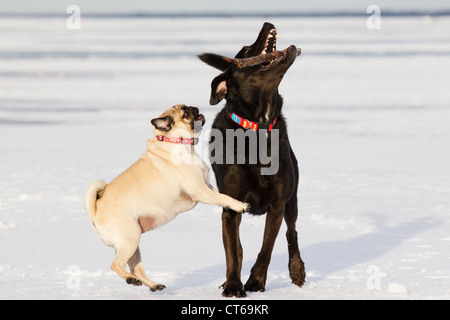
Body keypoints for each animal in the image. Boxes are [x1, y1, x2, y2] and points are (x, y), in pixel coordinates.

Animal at [84, 105, 250, 292]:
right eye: (186, 113)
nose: (195, 108)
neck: (176, 142)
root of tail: (95, 211)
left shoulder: (207, 187)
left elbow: (221, 196)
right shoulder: (201, 191)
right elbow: (223, 197)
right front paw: (239, 205)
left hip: (133, 242)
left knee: (136, 268)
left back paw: (153, 285)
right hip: (130, 239)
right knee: (116, 264)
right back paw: (130, 279)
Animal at [200, 22, 306, 298]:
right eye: (247, 50)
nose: (267, 24)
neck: (257, 126)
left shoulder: (278, 203)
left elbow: (266, 248)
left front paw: (256, 281)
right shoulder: (230, 206)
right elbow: (232, 251)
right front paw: (233, 285)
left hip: (293, 199)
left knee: (292, 232)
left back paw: (297, 270)